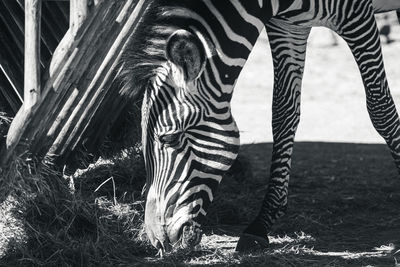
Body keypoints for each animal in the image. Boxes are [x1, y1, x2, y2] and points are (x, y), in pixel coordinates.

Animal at [119, 0, 400, 253]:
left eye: (171, 138)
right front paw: (261, 224)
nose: (156, 240)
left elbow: (380, 108)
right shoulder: (287, 26)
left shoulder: (356, 16)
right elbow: (284, 113)